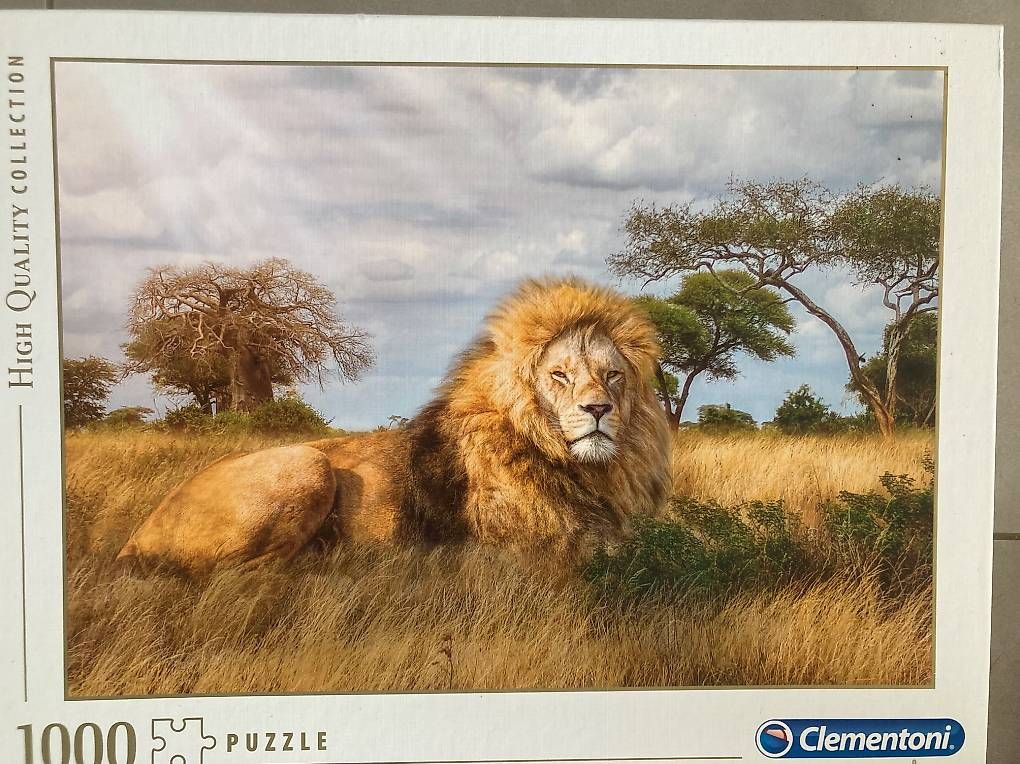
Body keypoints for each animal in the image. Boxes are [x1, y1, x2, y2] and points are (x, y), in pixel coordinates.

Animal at [117, 277, 672, 576]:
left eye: (613, 375)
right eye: (559, 375)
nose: (598, 409)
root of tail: (137, 533)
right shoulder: (536, 559)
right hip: (306, 461)